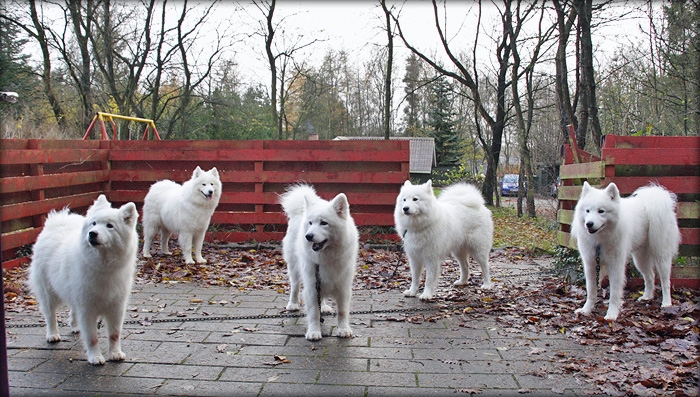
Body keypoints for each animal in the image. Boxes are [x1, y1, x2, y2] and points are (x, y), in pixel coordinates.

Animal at [28, 193, 139, 364]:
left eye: (110, 226)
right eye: (94, 223)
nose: (92, 233)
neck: (103, 266)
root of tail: (57, 221)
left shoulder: (116, 307)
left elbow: (114, 334)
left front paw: (115, 353)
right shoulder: (87, 308)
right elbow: (92, 338)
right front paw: (95, 357)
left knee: (72, 310)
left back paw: (75, 326)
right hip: (48, 292)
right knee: (50, 315)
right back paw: (52, 334)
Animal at [278, 183, 358, 340]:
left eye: (323, 223)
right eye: (310, 223)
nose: (308, 236)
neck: (326, 255)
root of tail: (300, 211)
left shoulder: (343, 286)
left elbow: (342, 311)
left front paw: (343, 329)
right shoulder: (311, 285)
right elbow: (314, 312)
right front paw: (314, 332)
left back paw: (325, 307)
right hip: (295, 268)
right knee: (295, 286)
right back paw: (293, 304)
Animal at [572, 181, 680, 320]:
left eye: (601, 211)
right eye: (587, 211)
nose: (589, 224)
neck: (600, 241)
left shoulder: (616, 266)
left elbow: (614, 293)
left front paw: (611, 314)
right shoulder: (591, 265)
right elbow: (591, 290)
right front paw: (586, 310)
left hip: (661, 255)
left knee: (665, 281)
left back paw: (666, 303)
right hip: (640, 259)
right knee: (650, 276)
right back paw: (647, 297)